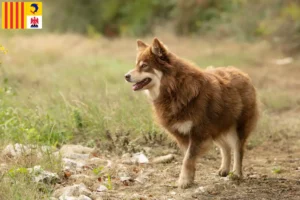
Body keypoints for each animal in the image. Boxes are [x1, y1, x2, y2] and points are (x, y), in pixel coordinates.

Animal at [124, 38, 258, 188]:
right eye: (136, 65)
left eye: (144, 66)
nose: (126, 76)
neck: (173, 89)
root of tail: (242, 73)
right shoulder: (183, 135)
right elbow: (188, 158)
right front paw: (190, 179)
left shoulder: (198, 133)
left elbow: (188, 159)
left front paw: (184, 181)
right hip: (216, 127)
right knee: (225, 147)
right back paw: (224, 169)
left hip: (237, 128)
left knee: (238, 149)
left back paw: (236, 174)